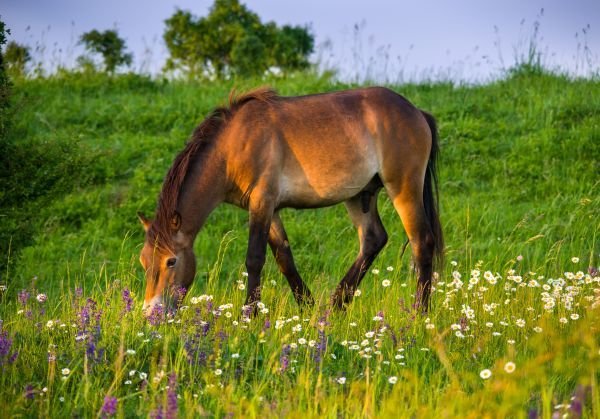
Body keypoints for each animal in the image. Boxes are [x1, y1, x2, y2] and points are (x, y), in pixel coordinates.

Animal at [138, 86, 442, 316]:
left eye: (171, 261)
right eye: (144, 261)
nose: (151, 313)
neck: (233, 145)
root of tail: (417, 112)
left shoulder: (262, 202)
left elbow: (254, 259)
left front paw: (249, 314)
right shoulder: (269, 210)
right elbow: (284, 259)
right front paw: (306, 307)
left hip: (403, 188)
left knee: (422, 242)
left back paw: (420, 313)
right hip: (360, 196)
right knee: (373, 240)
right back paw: (336, 304)